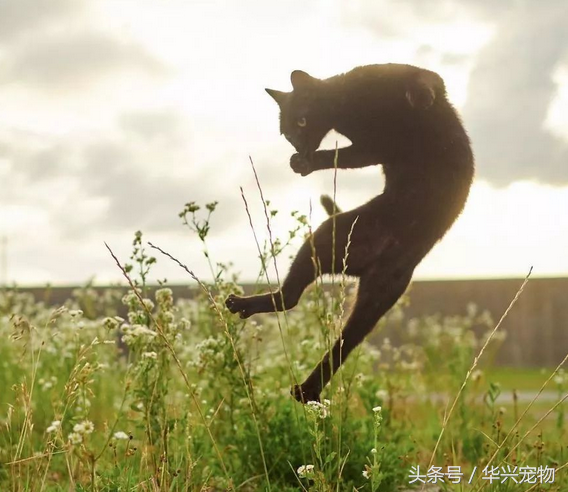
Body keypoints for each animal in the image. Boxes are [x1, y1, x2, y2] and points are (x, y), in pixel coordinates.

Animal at [224, 64, 472, 404]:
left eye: (301, 121)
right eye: (287, 133)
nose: (298, 146)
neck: (346, 108)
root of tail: (369, 265)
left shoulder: (405, 95)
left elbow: (423, 83)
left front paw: (419, 98)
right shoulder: (374, 147)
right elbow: (344, 156)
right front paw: (302, 163)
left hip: (364, 281)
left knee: (333, 332)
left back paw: (305, 388)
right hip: (333, 248)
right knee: (302, 308)